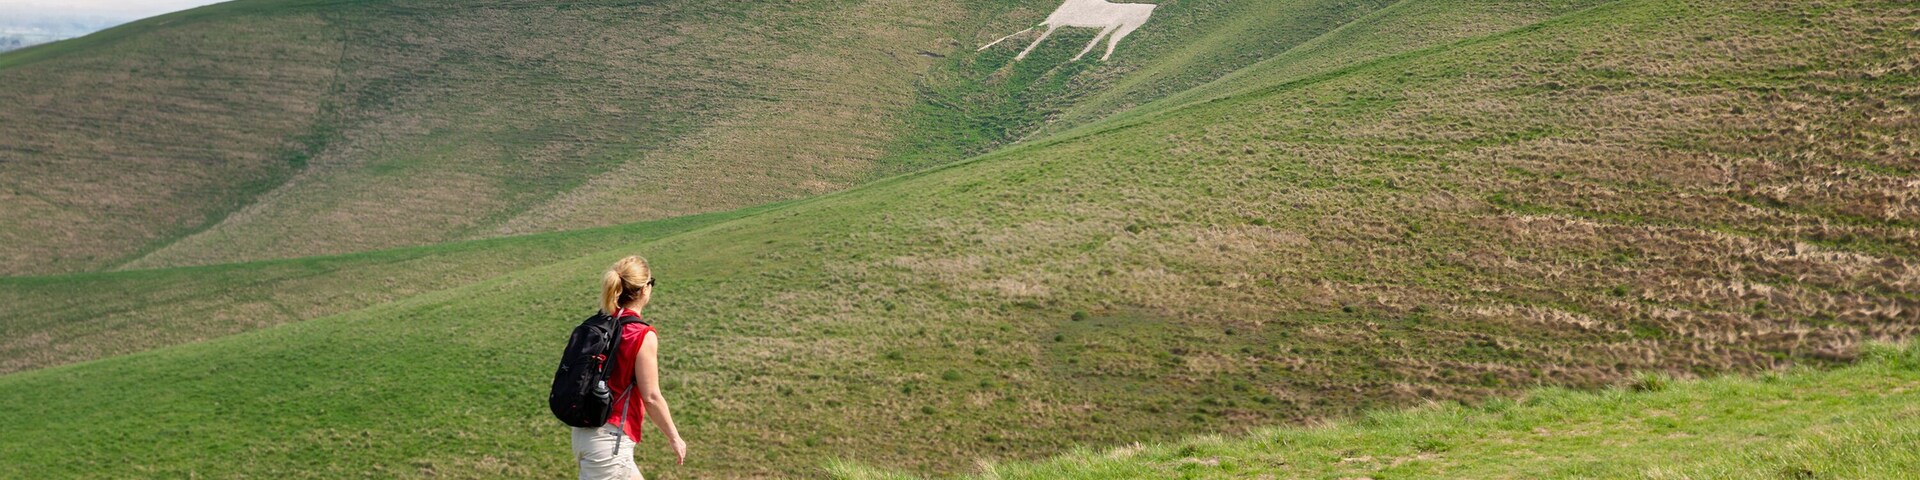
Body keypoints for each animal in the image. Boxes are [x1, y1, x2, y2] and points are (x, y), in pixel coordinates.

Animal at [977, 0, 1158, 62]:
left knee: (1111, 39)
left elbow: (1035, 40)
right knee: (1112, 39)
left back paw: (1099, 58)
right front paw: (981, 48)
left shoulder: (1055, 23)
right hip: (1123, 26)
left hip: (1123, 26)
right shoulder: (1053, 22)